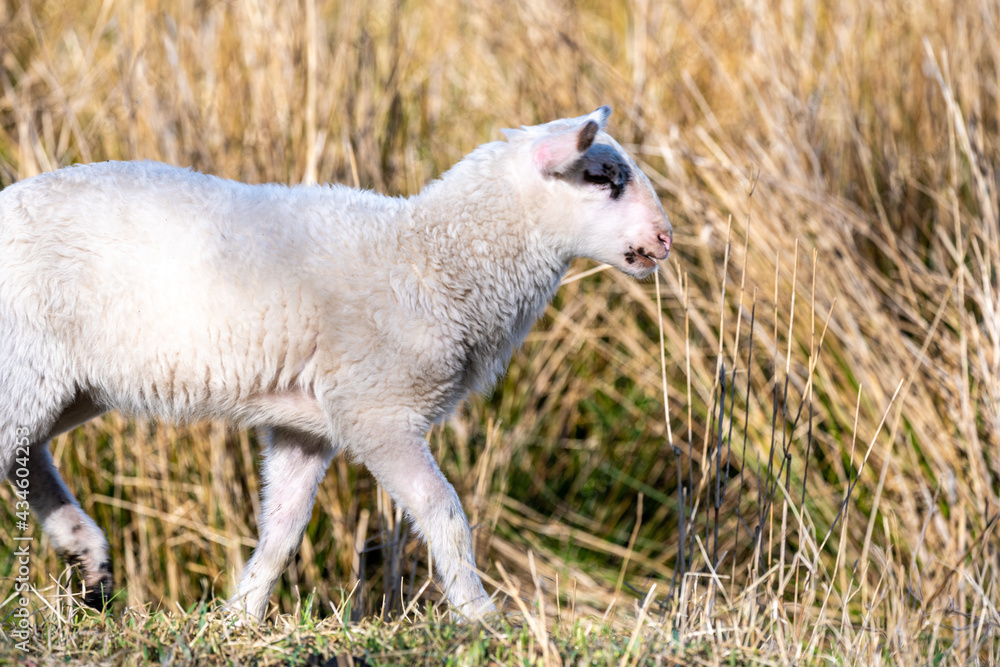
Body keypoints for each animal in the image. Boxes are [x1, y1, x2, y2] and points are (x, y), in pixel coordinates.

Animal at [0, 106, 672, 622]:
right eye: (605, 178)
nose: (665, 240)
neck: (432, 257)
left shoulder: (304, 423)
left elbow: (282, 528)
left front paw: (239, 618)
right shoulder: (376, 409)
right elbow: (442, 511)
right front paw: (481, 616)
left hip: (67, 385)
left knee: (25, 452)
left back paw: (88, 555)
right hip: (28, 363)